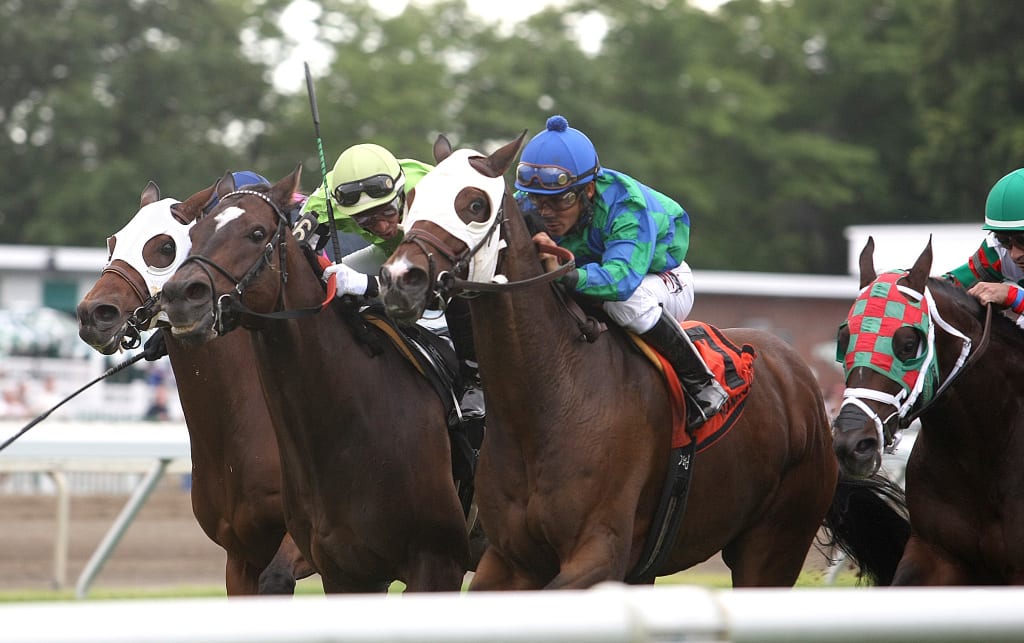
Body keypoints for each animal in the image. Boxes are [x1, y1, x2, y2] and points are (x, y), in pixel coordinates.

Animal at [380, 132, 909, 589]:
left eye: (475, 205)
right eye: (413, 198)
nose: (400, 278)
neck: (547, 397)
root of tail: (805, 385)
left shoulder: (600, 552)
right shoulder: (510, 559)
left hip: (775, 542)